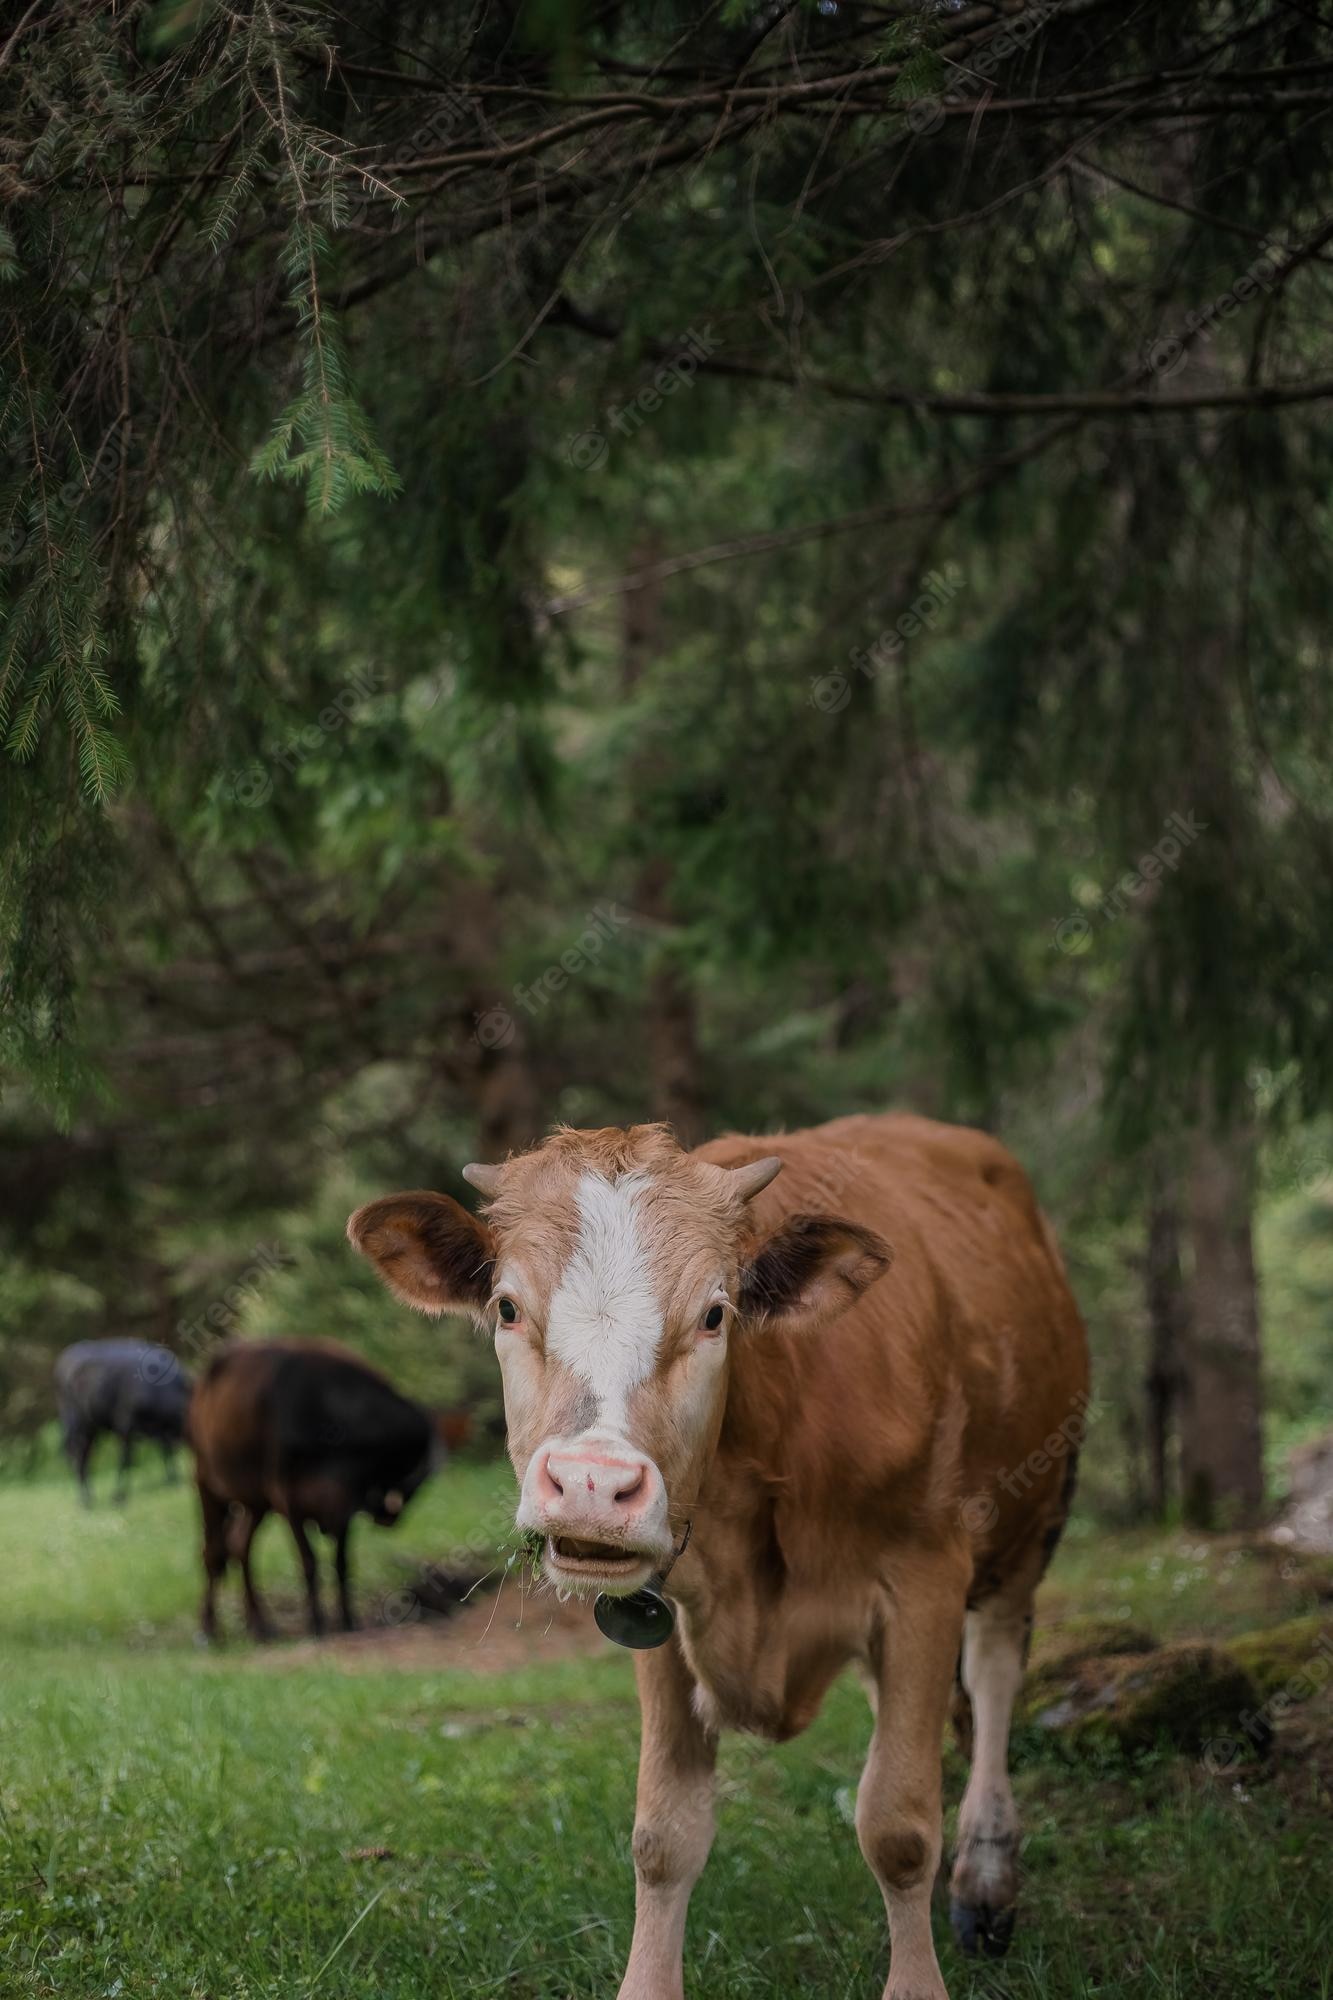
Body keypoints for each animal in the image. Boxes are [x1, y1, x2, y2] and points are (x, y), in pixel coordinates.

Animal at [55, 1339, 192, 1504]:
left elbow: (166, 1452)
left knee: (85, 1456)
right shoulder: (126, 1427)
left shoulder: (160, 1431)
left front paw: (172, 1479)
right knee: (80, 1458)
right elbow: (126, 1460)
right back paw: (85, 1500)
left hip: (92, 1428)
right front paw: (119, 1495)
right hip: (78, 1426)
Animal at [188, 1339, 437, 1641]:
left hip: (255, 1503)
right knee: (213, 1552)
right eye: (406, 1467)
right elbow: (309, 1562)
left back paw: (259, 1624)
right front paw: (317, 1624)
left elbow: (341, 1563)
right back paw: (209, 1629)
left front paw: (347, 1621)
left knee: (239, 1547)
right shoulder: (289, 1501)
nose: (389, 1517)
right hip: (207, 1484)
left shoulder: (343, 1509)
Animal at [348, 1114, 1089, 2000]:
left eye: (713, 1314)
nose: (592, 1483)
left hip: (1032, 1521)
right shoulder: (657, 1613)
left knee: (994, 1672)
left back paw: (984, 1876)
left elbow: (899, 1824)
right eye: (506, 1306)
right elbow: (664, 1835)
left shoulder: (924, 1576)